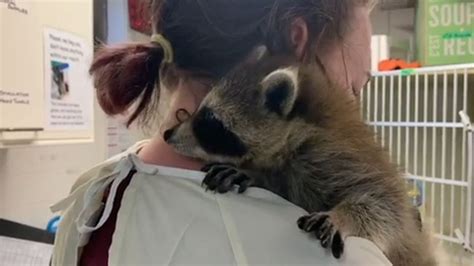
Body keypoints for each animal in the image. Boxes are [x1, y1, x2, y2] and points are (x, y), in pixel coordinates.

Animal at [164, 51, 436, 264]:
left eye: (210, 122)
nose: (168, 134)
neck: (295, 136)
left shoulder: (338, 157)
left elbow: (387, 206)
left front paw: (344, 216)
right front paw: (255, 174)